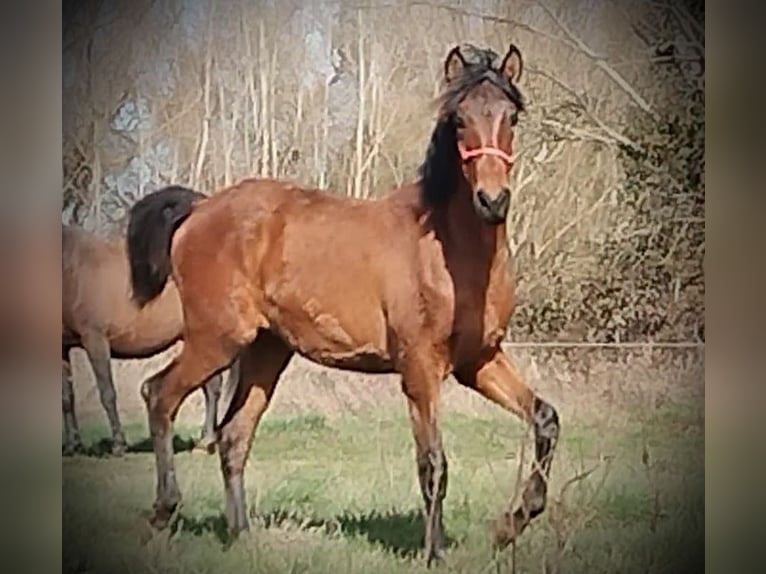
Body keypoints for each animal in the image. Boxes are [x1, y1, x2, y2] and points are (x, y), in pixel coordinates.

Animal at [62, 215, 234, 456]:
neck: (72, 270)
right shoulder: (63, 347)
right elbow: (67, 398)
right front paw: (72, 445)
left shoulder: (94, 339)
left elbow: (107, 393)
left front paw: (118, 445)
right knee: (211, 385)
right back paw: (205, 440)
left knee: (212, 388)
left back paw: (205, 441)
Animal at [125, 42, 560, 564]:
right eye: (459, 120)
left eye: (511, 117)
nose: (492, 200)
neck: (449, 252)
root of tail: (199, 208)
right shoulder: (420, 369)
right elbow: (433, 463)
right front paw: (435, 553)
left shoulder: (479, 361)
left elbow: (545, 419)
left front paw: (509, 525)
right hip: (217, 339)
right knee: (159, 395)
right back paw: (163, 511)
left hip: (267, 351)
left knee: (233, 437)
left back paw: (242, 535)